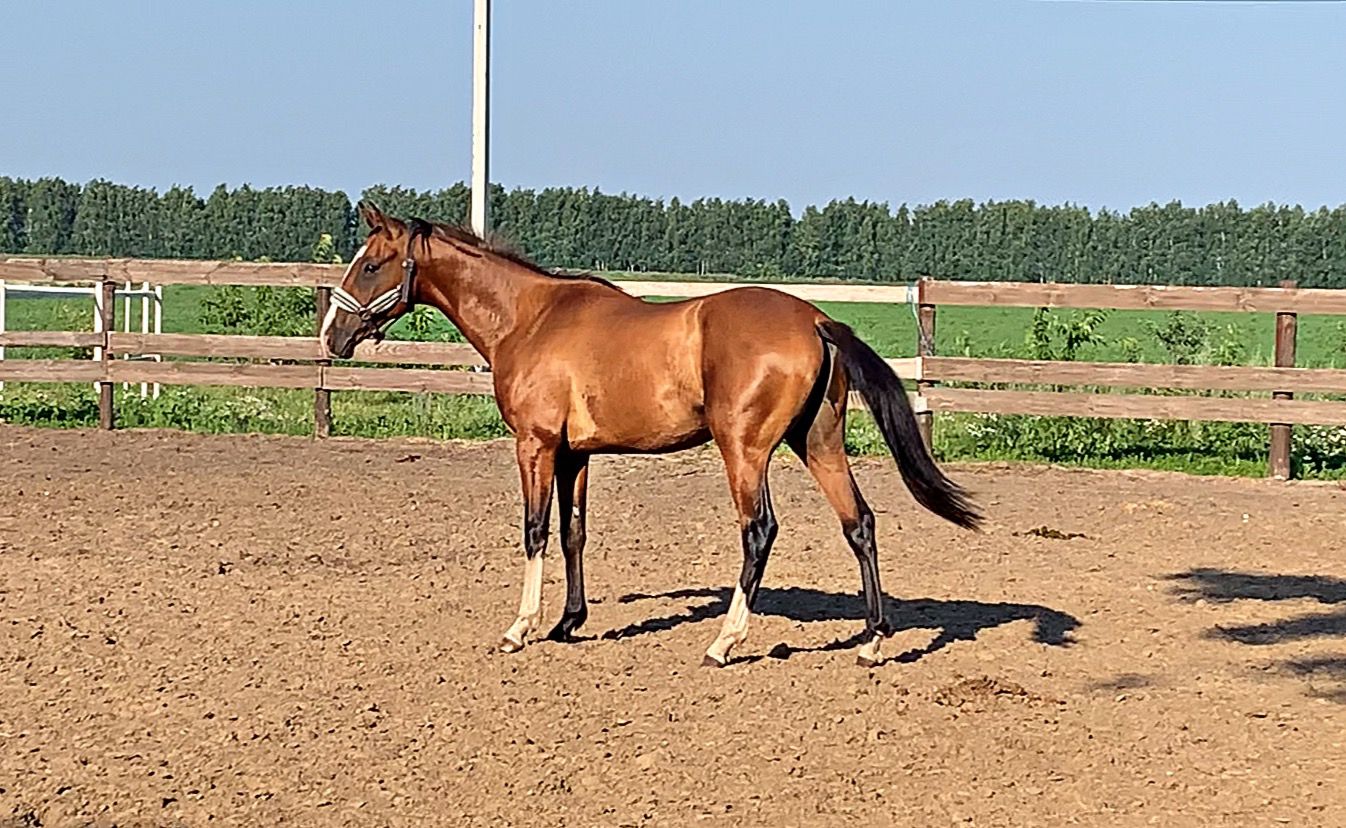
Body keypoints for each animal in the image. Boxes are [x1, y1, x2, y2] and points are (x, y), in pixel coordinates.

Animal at [323, 202, 981, 667]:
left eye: (371, 264)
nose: (331, 335)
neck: (530, 319)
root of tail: (817, 318)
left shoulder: (535, 445)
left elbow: (535, 532)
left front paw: (520, 629)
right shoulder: (576, 455)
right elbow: (574, 533)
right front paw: (568, 623)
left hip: (745, 450)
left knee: (759, 532)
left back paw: (724, 642)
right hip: (817, 444)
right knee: (859, 523)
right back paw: (872, 642)